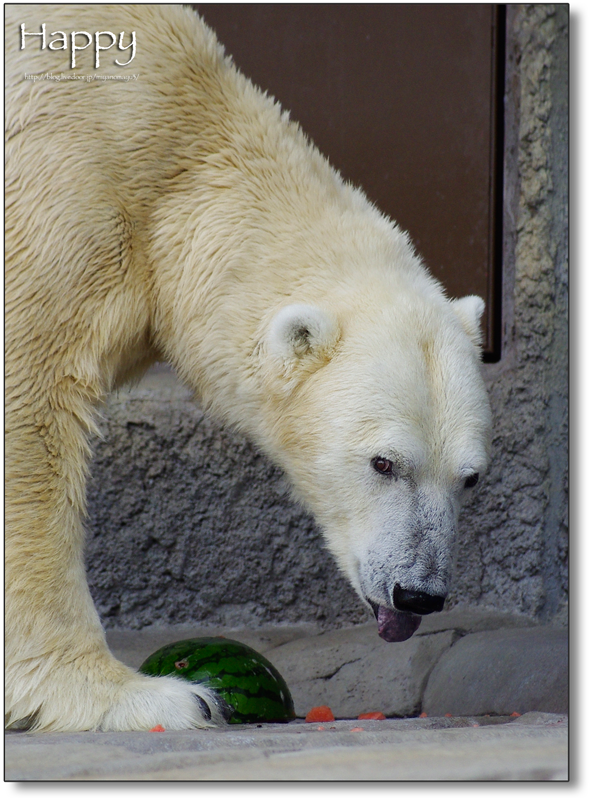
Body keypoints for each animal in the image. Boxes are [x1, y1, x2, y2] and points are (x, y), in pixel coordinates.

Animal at [5, 4, 492, 732]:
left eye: (471, 477)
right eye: (383, 462)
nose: (418, 594)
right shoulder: (59, 186)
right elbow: (31, 406)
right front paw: (134, 695)